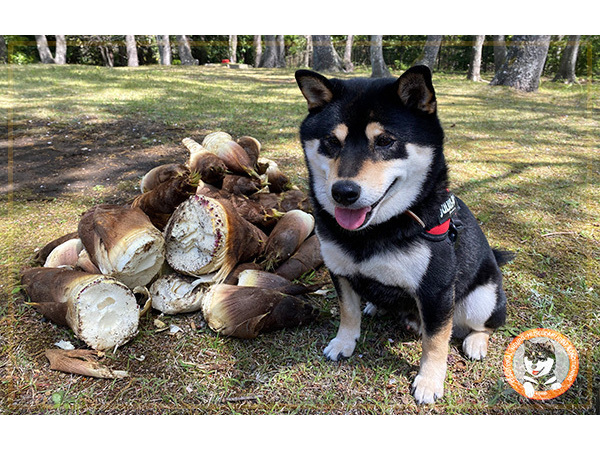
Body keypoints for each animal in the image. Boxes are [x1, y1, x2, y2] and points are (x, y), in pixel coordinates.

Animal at [296, 64, 510, 404]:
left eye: (385, 141)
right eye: (331, 141)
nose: (343, 192)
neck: (375, 231)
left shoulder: (436, 290)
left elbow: (436, 341)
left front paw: (430, 381)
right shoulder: (339, 271)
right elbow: (348, 312)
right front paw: (344, 342)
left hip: (482, 300)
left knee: (488, 324)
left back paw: (476, 342)